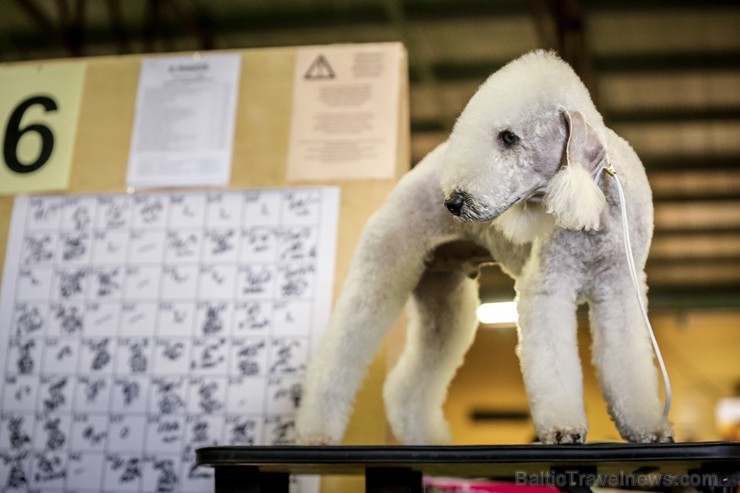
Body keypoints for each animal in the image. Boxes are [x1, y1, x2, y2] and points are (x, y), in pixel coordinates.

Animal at [294, 51, 672, 446]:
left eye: (508, 137)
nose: (455, 202)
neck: (595, 205)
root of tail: (416, 173)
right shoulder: (548, 285)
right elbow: (553, 362)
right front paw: (562, 428)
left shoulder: (619, 289)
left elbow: (627, 361)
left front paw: (647, 425)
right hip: (381, 270)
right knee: (339, 353)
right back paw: (315, 433)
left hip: (443, 301)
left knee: (407, 386)